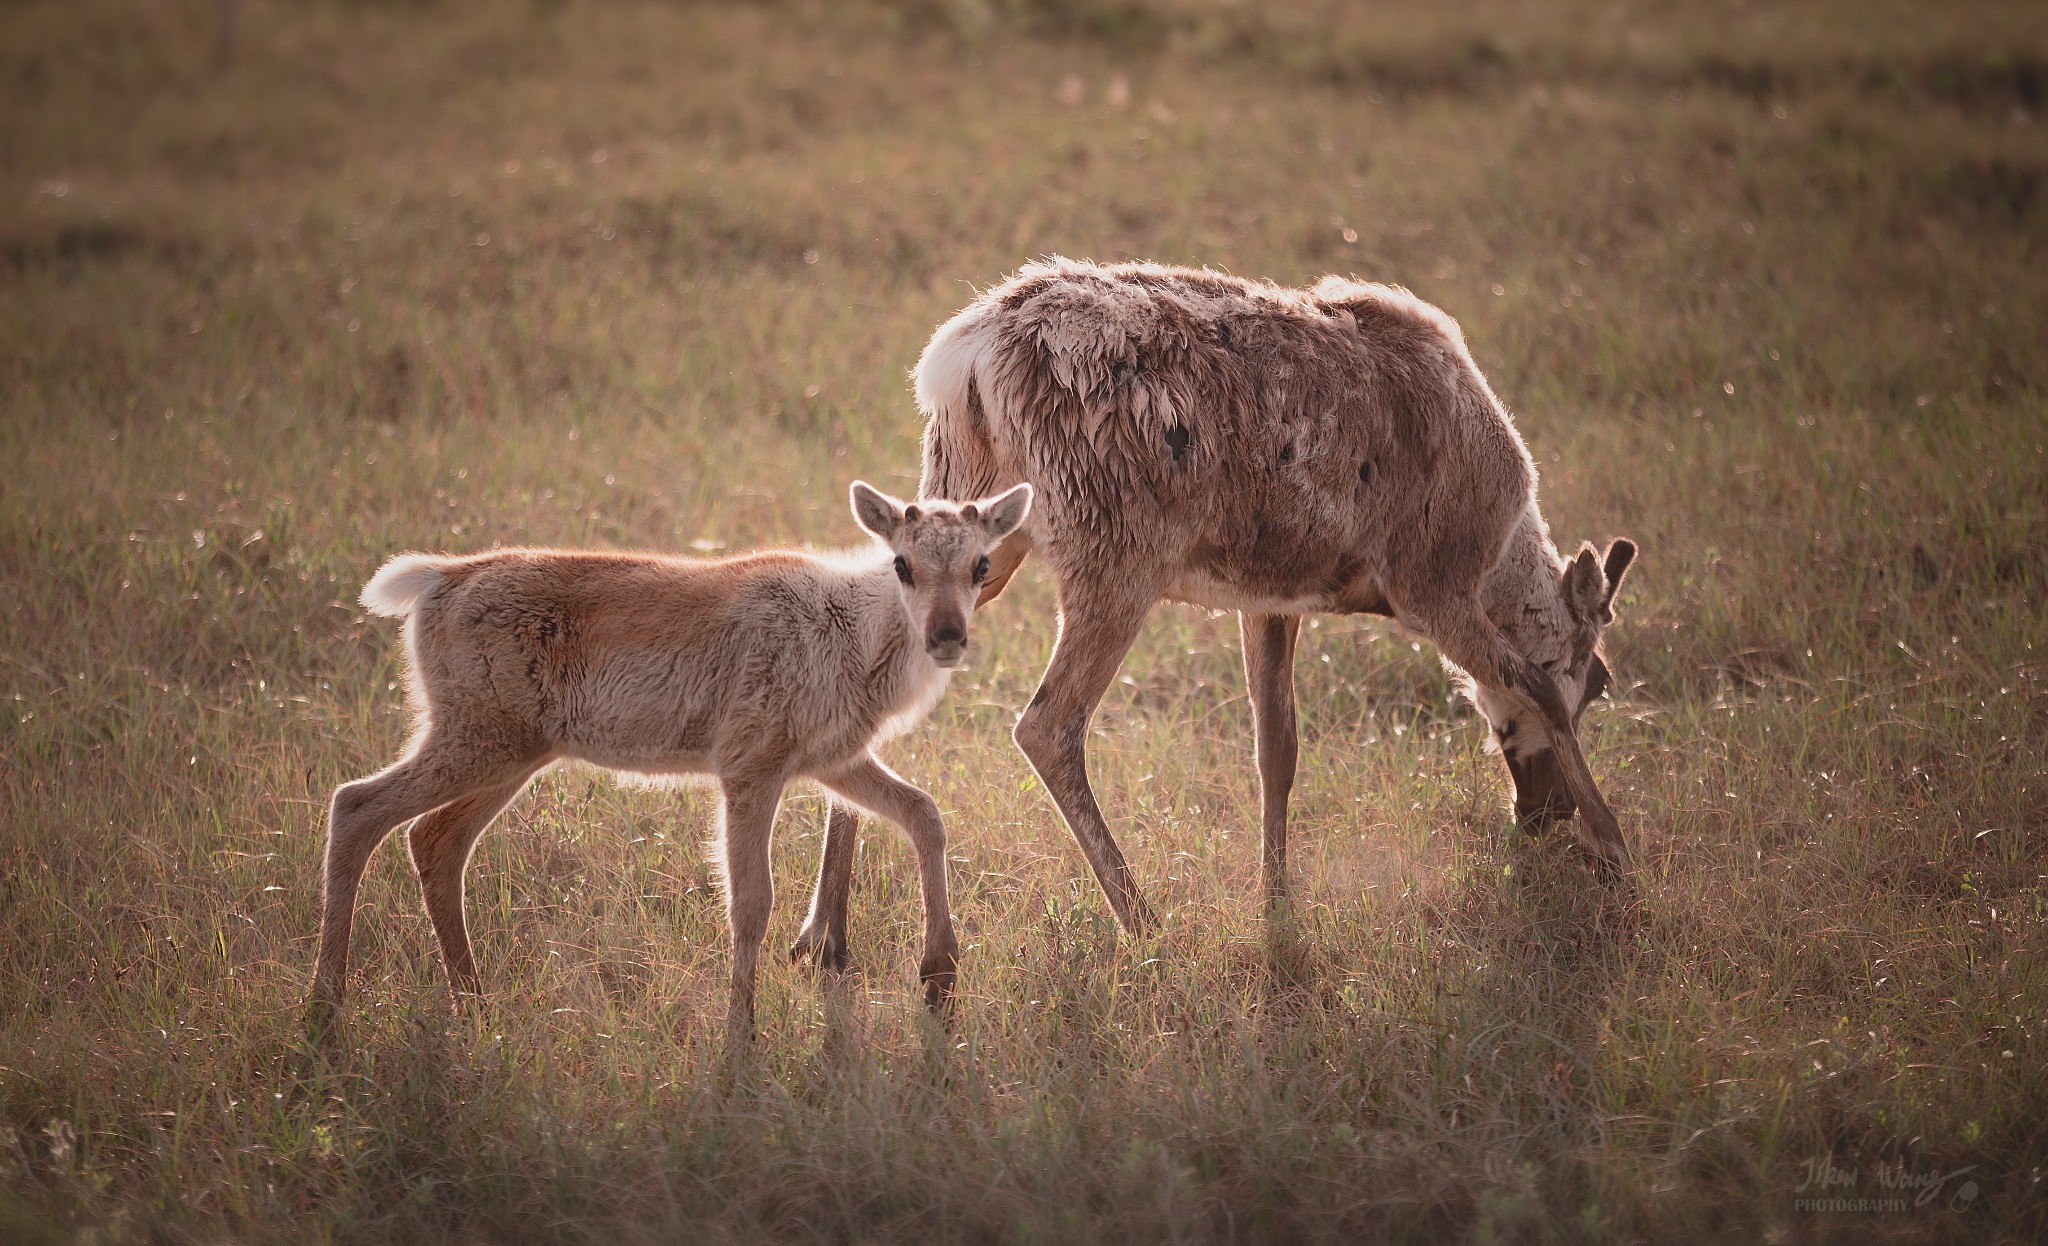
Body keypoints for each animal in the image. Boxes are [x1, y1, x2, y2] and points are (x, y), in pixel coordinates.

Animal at [309, 481, 1032, 1036]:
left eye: (980, 565)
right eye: (903, 564)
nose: (947, 636)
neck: (856, 639)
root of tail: (434, 581)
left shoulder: (832, 757)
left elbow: (925, 814)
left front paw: (940, 976)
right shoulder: (749, 759)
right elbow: (751, 901)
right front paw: (741, 1037)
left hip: (512, 749)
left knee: (435, 839)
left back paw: (473, 1003)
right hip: (476, 736)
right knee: (357, 805)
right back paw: (325, 1007)